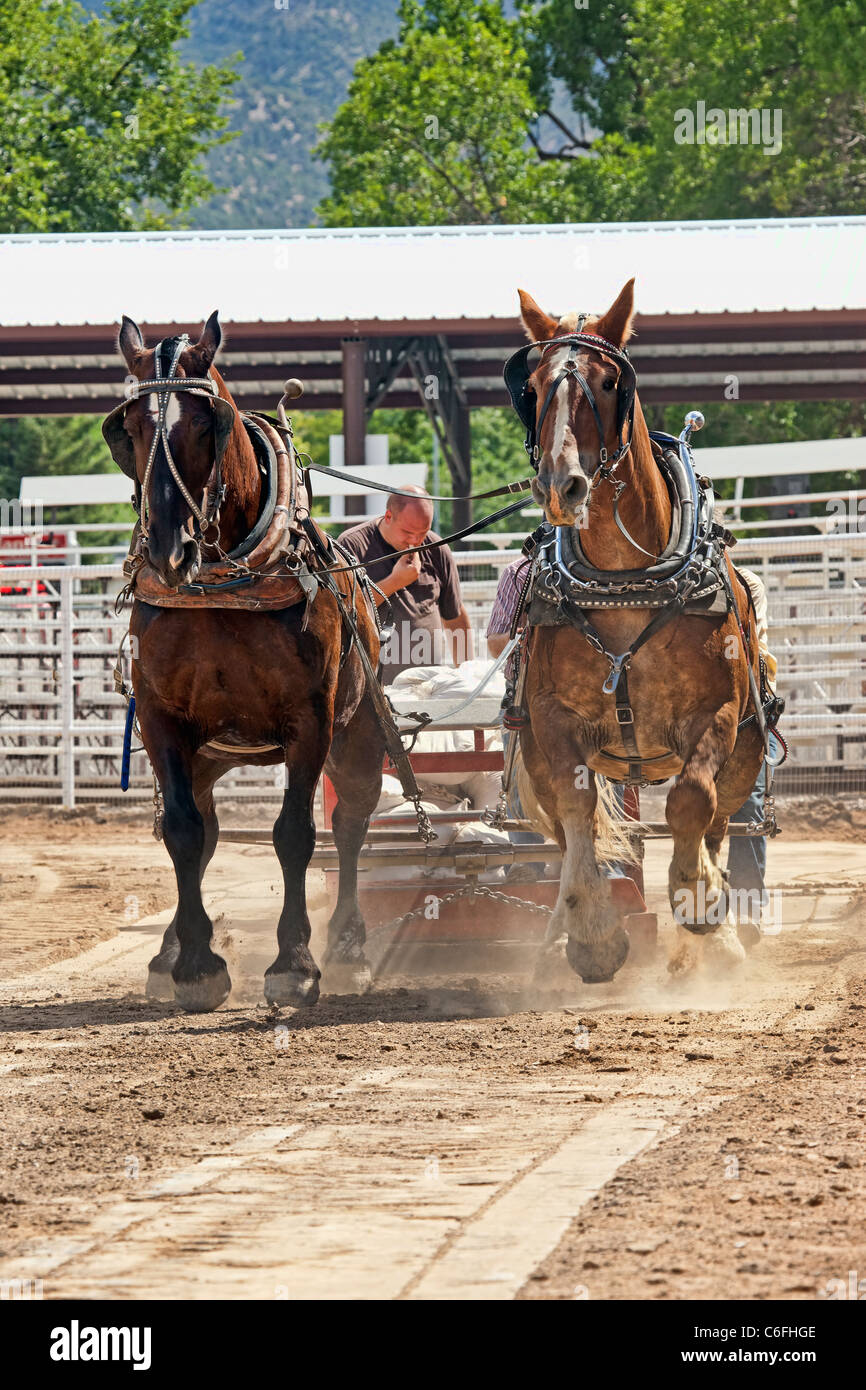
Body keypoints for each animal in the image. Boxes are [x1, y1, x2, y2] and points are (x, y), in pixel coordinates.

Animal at [103, 312, 385, 1012]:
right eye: (132, 427)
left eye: (206, 425)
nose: (168, 549)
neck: (222, 587)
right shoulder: (163, 720)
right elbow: (182, 832)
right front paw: (195, 965)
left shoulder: (309, 721)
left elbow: (295, 834)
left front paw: (295, 963)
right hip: (206, 753)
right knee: (200, 831)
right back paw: (168, 951)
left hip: (358, 735)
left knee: (350, 824)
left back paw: (349, 947)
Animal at [509, 280, 765, 983]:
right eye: (532, 386)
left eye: (606, 383)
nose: (560, 485)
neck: (625, 581)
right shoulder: (553, 720)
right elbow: (579, 814)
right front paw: (594, 937)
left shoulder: (717, 715)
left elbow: (690, 803)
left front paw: (701, 903)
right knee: (572, 833)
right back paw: (557, 941)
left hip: (747, 758)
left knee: (716, 821)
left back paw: (719, 940)